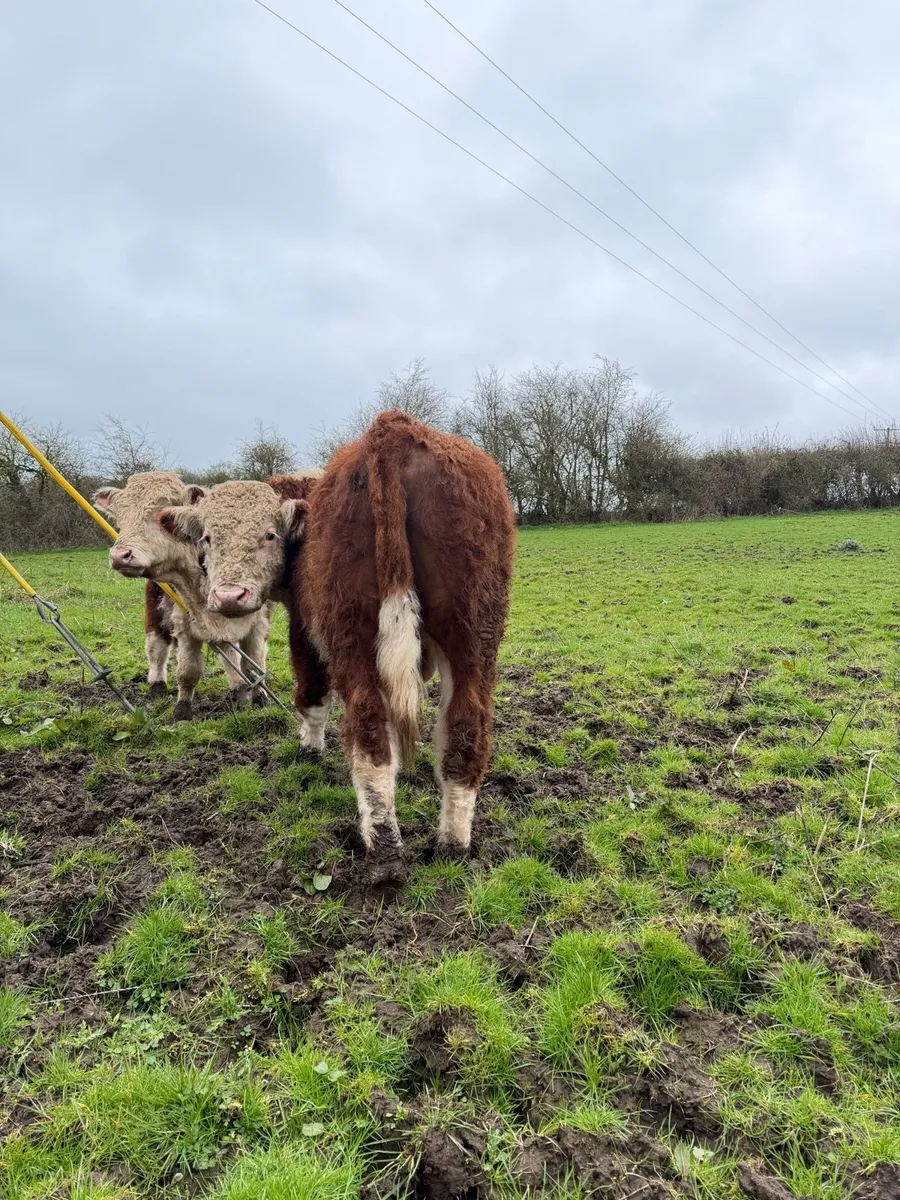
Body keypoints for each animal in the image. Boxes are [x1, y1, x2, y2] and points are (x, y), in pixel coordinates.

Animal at [92, 471, 273, 718]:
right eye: (121, 516)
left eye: (161, 513)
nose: (120, 555)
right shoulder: (185, 622)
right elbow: (188, 671)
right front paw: (182, 711)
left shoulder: (259, 621)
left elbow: (255, 662)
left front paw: (260, 699)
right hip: (155, 606)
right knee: (156, 646)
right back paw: (157, 684)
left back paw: (238, 687)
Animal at [156, 413, 516, 881]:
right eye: (208, 537)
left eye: (269, 535)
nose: (229, 596)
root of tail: (394, 430)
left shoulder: (304, 626)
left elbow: (311, 695)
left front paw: (308, 749)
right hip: (473, 637)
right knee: (465, 727)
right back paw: (453, 843)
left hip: (353, 637)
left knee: (368, 732)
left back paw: (383, 849)